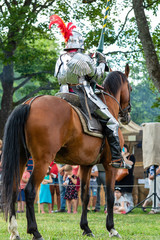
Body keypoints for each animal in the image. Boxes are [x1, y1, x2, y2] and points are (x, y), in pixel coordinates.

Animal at [1, 64, 131, 239]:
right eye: (130, 87)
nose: (126, 115)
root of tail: (30, 103)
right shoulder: (110, 166)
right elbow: (110, 197)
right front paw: (112, 229)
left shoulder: (86, 166)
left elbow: (85, 195)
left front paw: (86, 228)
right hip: (42, 161)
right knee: (29, 190)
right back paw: (35, 231)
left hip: (21, 158)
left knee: (14, 189)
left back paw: (14, 231)